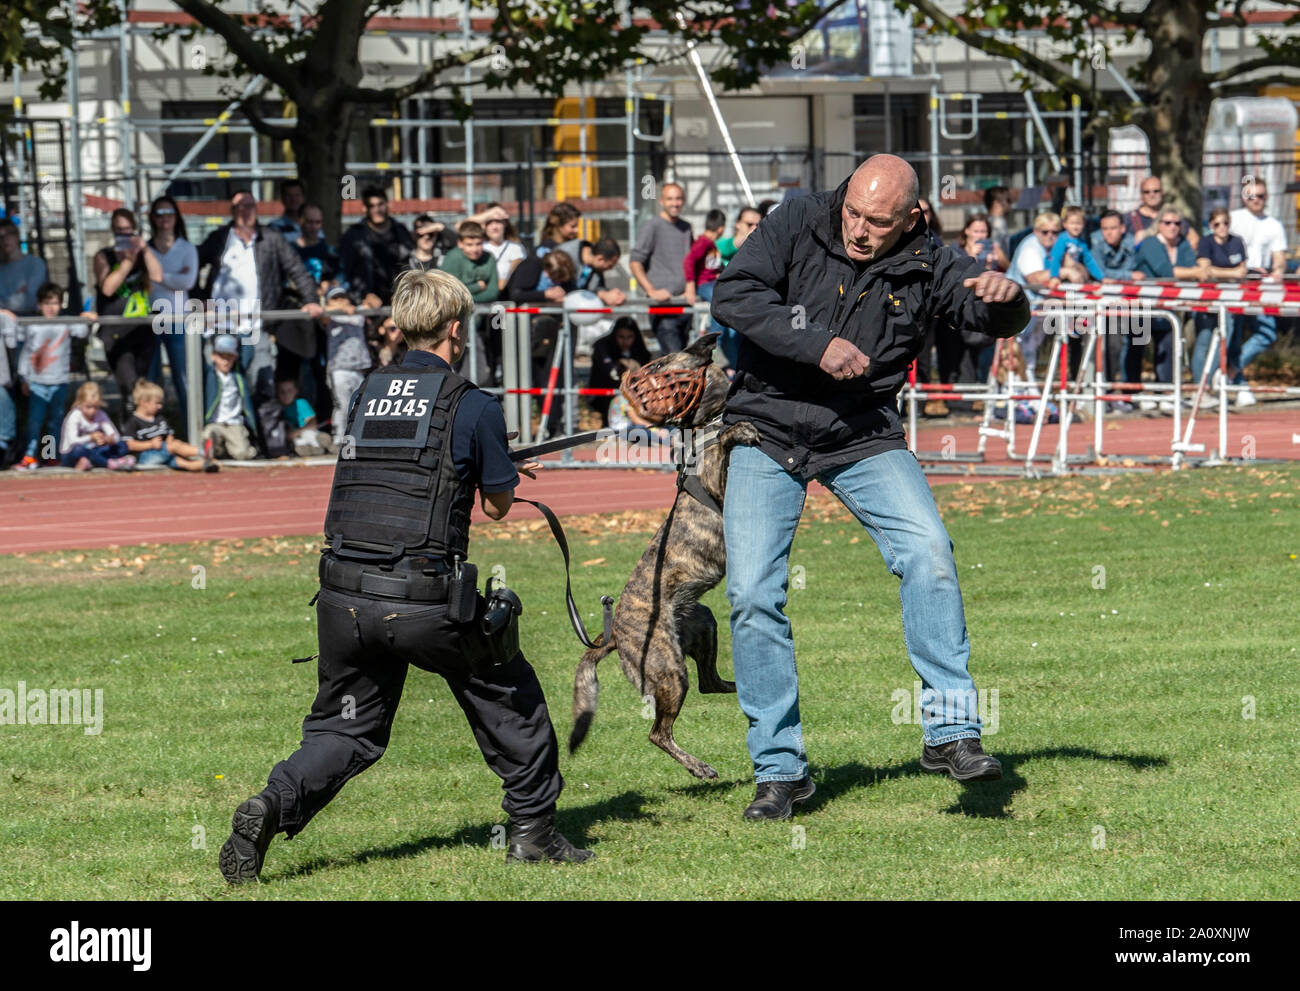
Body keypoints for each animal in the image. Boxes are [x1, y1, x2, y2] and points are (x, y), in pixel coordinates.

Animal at [572, 331, 759, 780]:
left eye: (660, 364)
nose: (632, 382)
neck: (704, 424)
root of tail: (613, 636)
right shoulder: (717, 482)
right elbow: (725, 442)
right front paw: (739, 430)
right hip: (670, 669)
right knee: (658, 732)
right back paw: (698, 767)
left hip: (703, 625)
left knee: (710, 684)